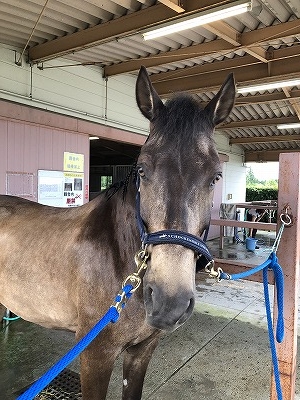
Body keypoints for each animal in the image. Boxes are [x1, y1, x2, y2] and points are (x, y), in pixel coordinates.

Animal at [0, 67, 236, 398]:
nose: (169, 302)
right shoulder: (95, 355)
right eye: (142, 170)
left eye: (215, 176)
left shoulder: (141, 351)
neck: (119, 258)